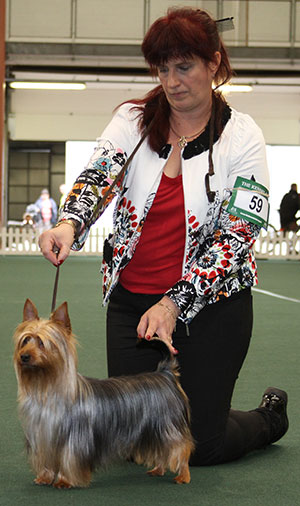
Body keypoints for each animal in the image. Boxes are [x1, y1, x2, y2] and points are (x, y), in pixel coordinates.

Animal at [12, 298, 195, 488]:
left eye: (43, 343)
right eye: (25, 341)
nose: (24, 356)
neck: (47, 387)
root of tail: (165, 373)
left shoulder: (73, 440)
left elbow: (69, 460)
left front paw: (64, 480)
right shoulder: (43, 437)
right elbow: (46, 460)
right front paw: (45, 477)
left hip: (169, 425)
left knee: (181, 448)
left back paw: (183, 476)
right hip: (153, 430)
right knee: (160, 450)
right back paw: (158, 469)